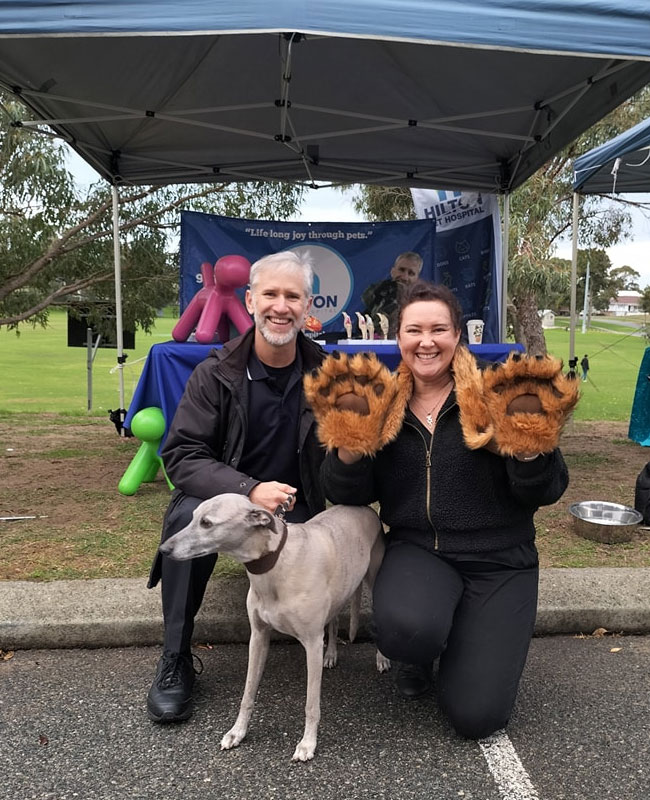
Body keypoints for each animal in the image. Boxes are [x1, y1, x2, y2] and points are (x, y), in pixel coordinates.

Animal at [159, 494, 388, 764]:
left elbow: (311, 704)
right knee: (332, 622)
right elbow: (248, 693)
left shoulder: (312, 643)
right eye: (194, 516)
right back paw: (331, 654)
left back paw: (382, 658)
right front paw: (237, 732)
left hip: (373, 579)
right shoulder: (258, 637)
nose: (164, 549)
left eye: (206, 523)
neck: (277, 562)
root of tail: (364, 507)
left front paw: (307, 743)